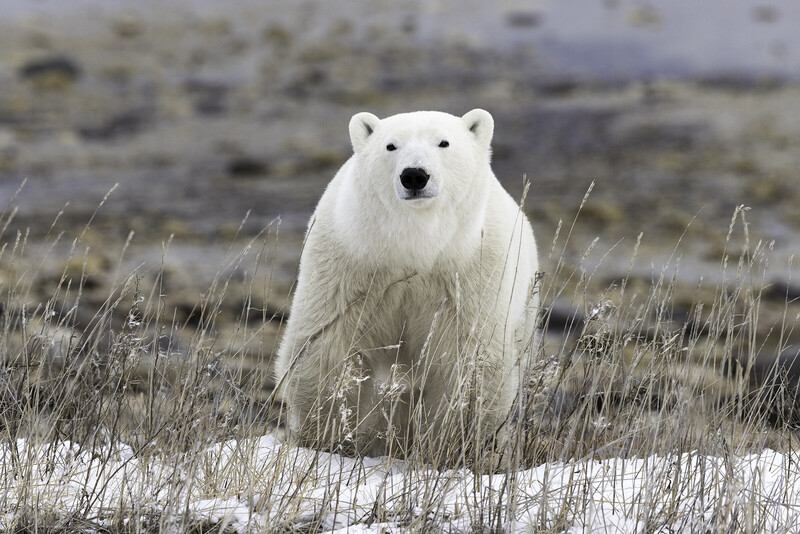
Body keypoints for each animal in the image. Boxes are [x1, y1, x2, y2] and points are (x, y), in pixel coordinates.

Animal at [273, 109, 539, 463]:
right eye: (391, 145)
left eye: (443, 142)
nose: (415, 175)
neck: (415, 246)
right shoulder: (351, 267)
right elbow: (328, 346)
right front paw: (326, 439)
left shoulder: (469, 274)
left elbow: (469, 359)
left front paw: (456, 447)